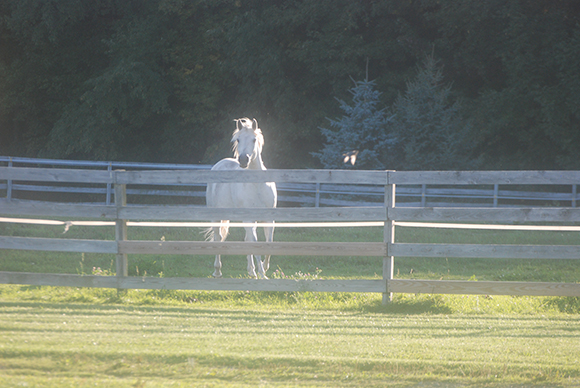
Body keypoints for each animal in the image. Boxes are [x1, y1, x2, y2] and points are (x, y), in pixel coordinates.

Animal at [205, 117, 278, 278]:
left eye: (254, 139)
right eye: (238, 139)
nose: (243, 160)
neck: (257, 186)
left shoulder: (268, 219)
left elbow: (269, 243)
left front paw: (264, 268)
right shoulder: (248, 219)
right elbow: (255, 244)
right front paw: (262, 274)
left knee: (246, 239)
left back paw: (251, 271)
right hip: (217, 216)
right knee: (218, 238)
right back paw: (217, 271)